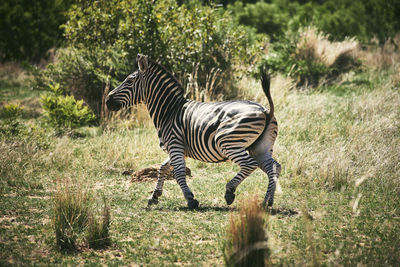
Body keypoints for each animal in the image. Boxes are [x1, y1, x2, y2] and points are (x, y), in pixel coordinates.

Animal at [106, 54, 282, 209]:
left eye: (129, 81)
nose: (107, 101)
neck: (169, 111)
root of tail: (265, 110)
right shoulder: (177, 148)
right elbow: (162, 168)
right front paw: (154, 196)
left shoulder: (175, 144)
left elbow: (178, 173)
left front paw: (190, 199)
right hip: (260, 147)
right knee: (274, 167)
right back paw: (267, 201)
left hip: (227, 141)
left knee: (249, 164)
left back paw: (230, 191)